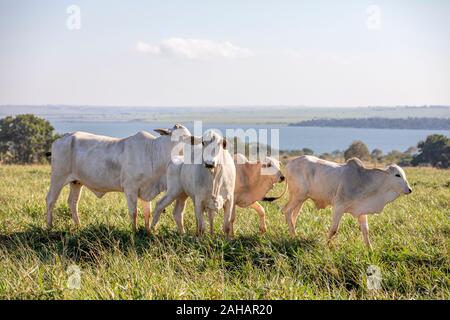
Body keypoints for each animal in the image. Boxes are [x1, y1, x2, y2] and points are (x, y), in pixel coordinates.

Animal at [45, 124, 192, 231]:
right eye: (183, 137)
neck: (153, 153)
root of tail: (63, 137)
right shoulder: (130, 188)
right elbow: (134, 212)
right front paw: (134, 231)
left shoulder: (146, 189)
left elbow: (147, 212)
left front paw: (148, 231)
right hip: (58, 177)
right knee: (51, 200)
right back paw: (49, 227)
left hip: (76, 182)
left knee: (72, 202)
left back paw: (78, 226)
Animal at [282, 155, 412, 248]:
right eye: (397, 175)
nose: (409, 189)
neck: (363, 180)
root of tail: (289, 164)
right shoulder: (338, 207)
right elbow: (334, 230)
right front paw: (326, 246)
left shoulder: (361, 211)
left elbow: (366, 231)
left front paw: (370, 249)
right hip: (298, 196)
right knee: (287, 211)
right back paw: (294, 236)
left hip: (301, 199)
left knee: (294, 215)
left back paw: (294, 235)